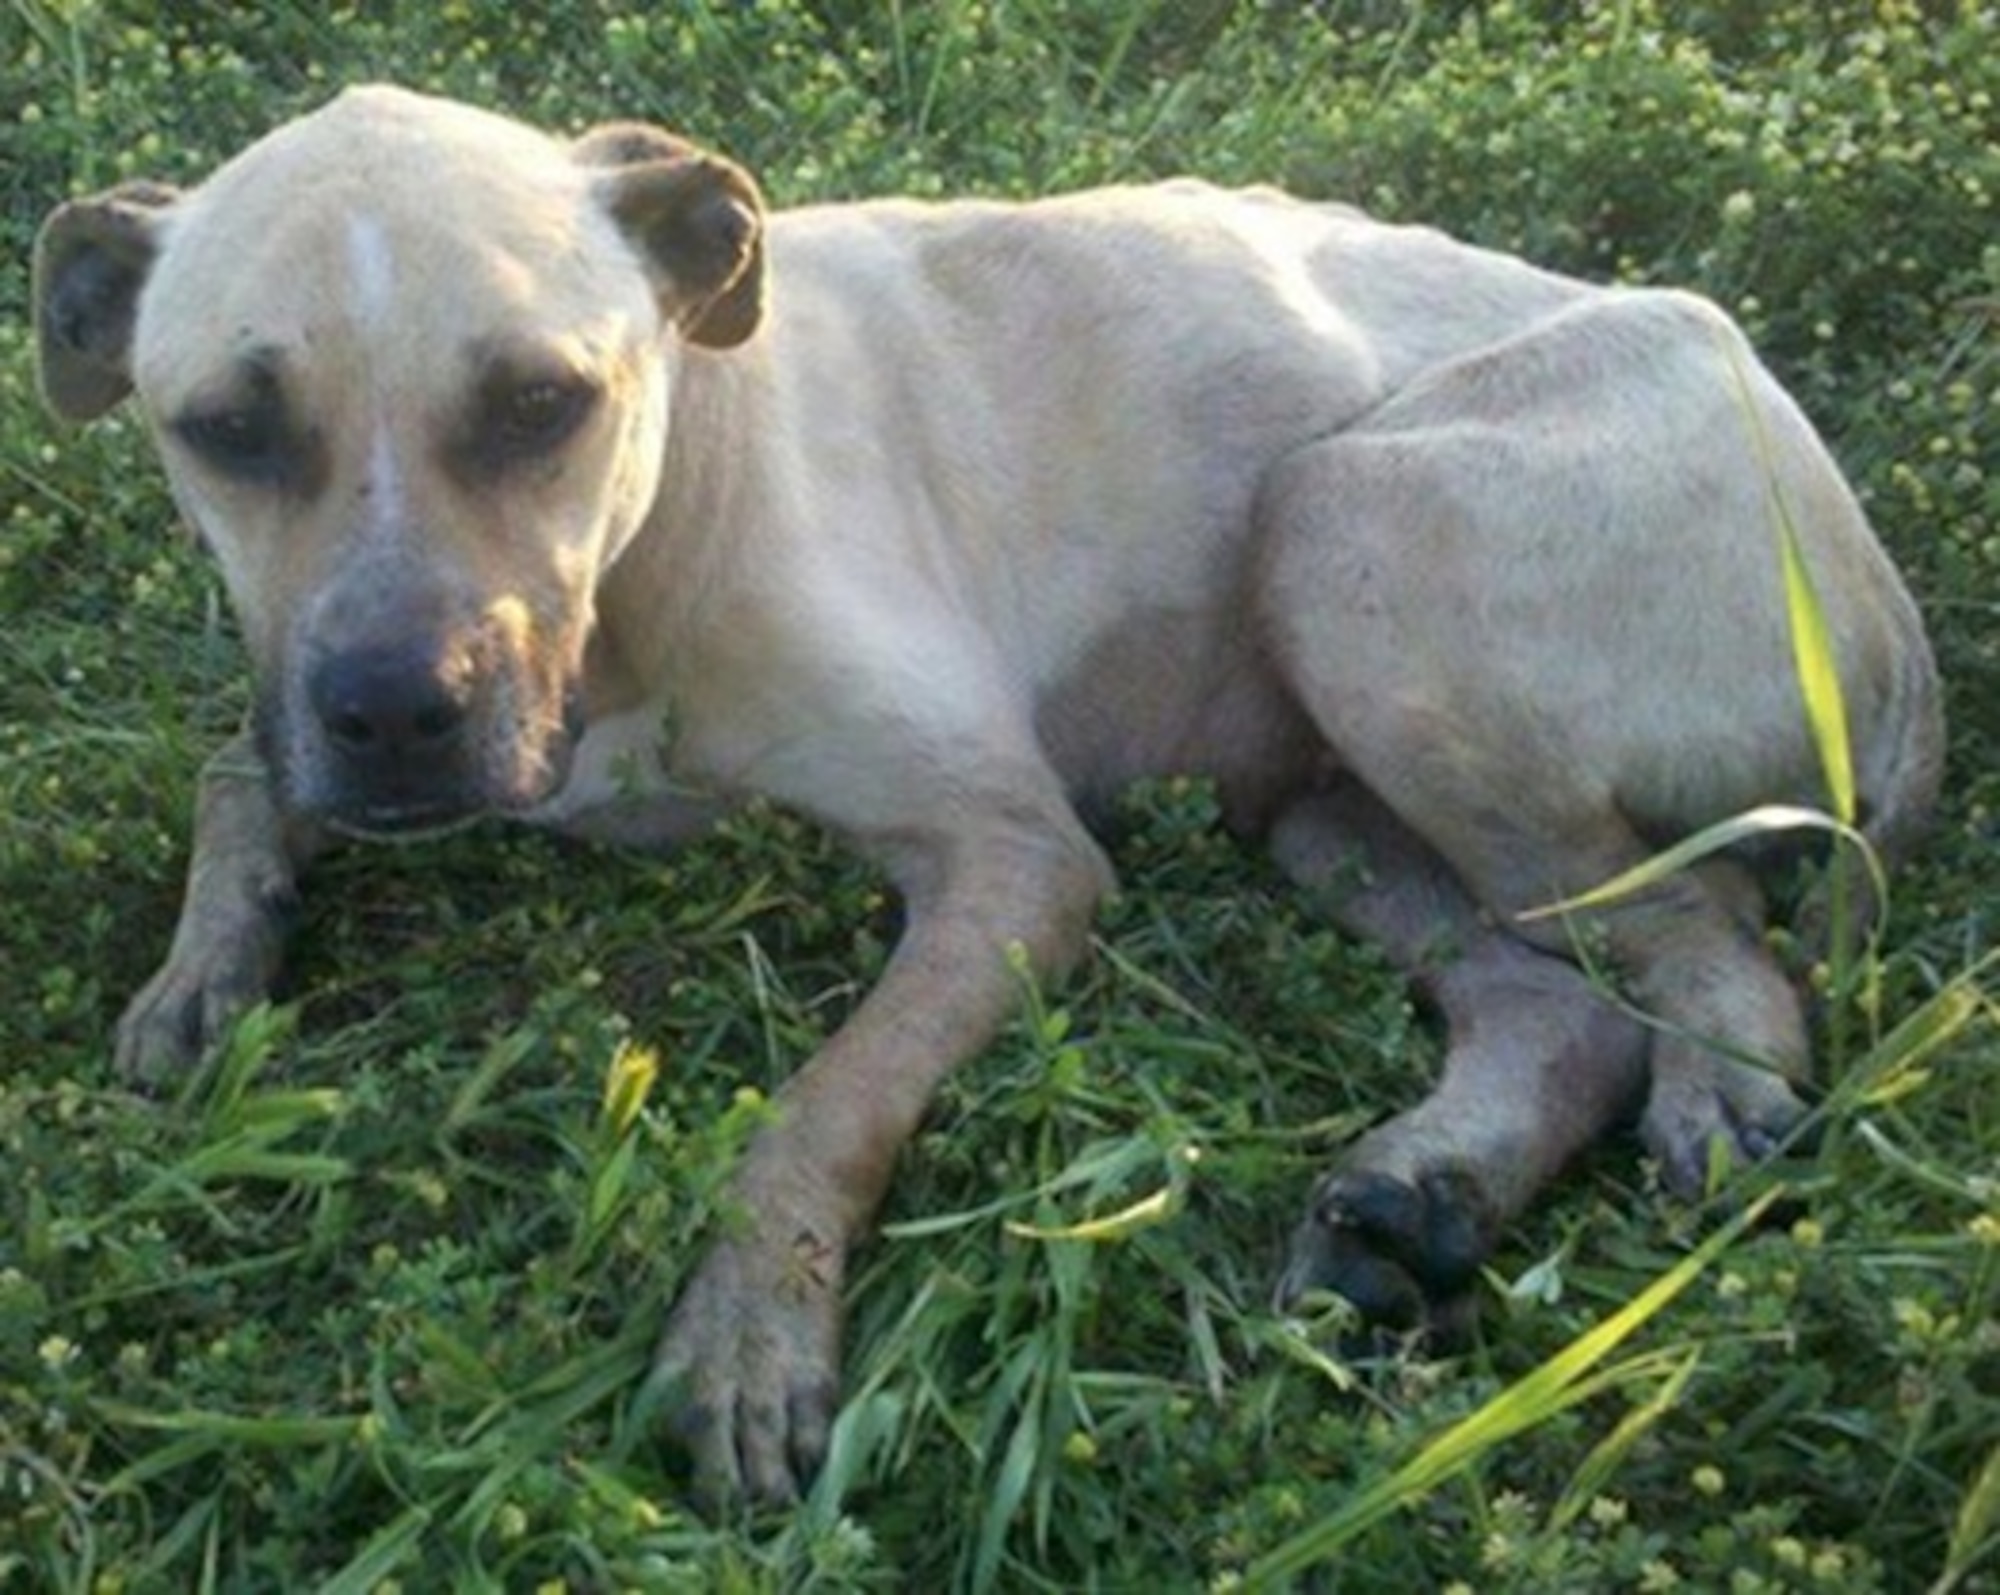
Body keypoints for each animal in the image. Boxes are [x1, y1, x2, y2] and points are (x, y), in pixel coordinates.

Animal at [31, 87, 1936, 1511]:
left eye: (540, 403)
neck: (663, 515)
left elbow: (823, 1102)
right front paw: (204, 967)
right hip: (1315, 786)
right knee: (1559, 1001)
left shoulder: (1013, 859)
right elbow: (235, 761)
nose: (394, 715)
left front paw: (752, 1330)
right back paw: (1421, 1201)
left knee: (1714, 938)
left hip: (1351, 537)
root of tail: (1887, 614)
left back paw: (1719, 1094)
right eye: (224, 428)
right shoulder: (335, 711)